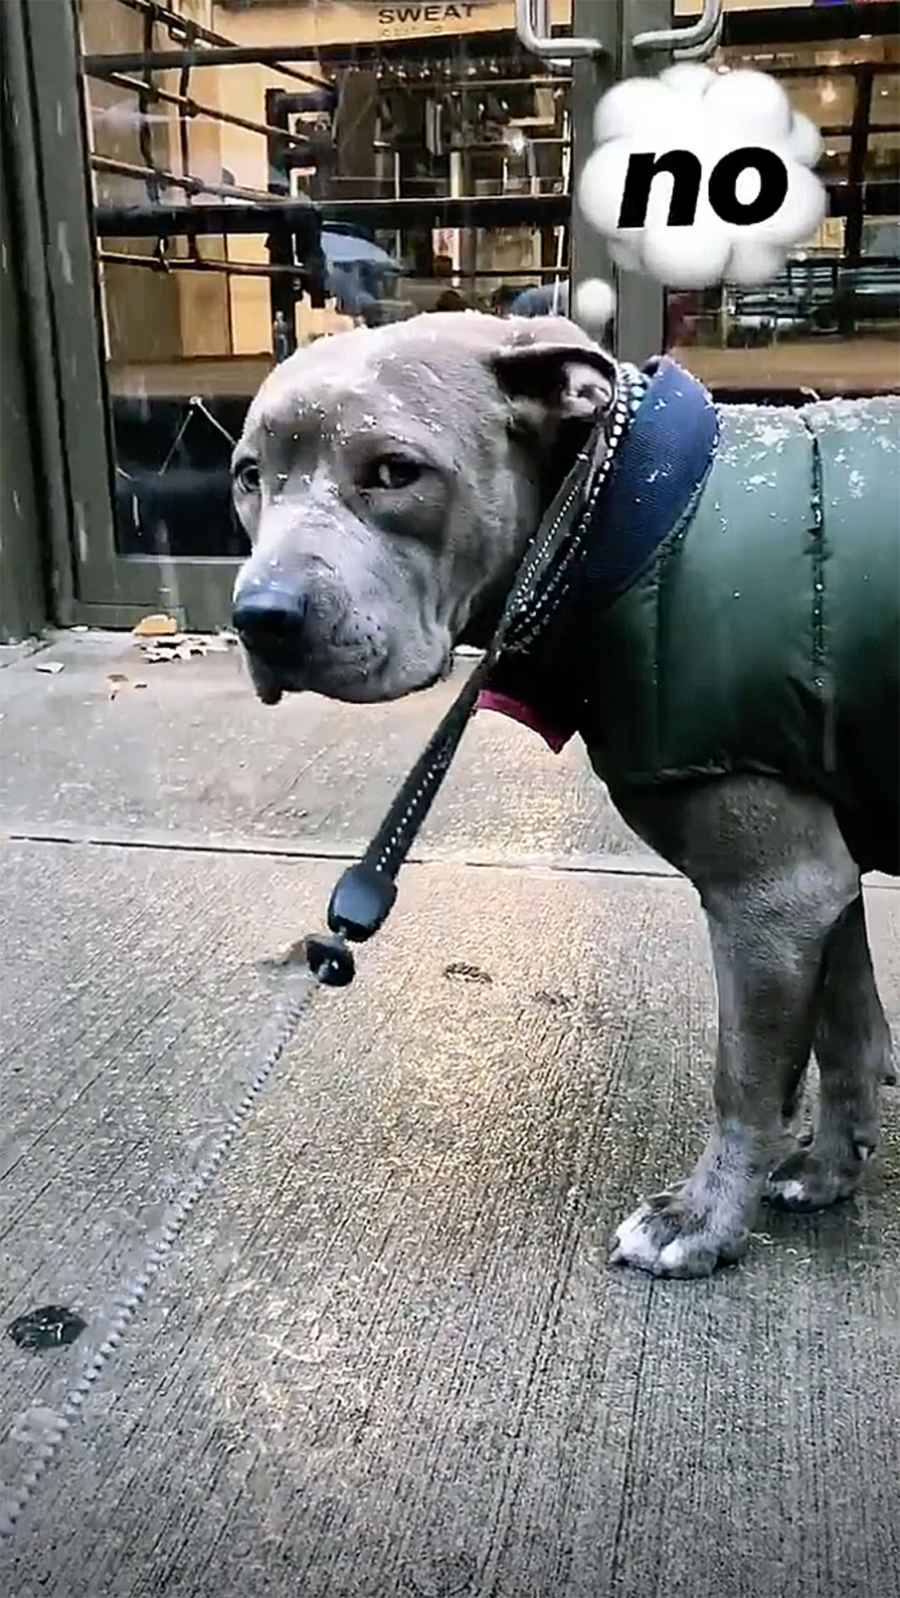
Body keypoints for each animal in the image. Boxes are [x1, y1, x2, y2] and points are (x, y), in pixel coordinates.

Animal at [234, 311, 900, 1278]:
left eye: (396, 471)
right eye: (250, 476)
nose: (261, 616)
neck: (624, 517)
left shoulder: (771, 894)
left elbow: (742, 1078)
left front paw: (702, 1222)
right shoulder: (819, 863)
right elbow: (848, 1031)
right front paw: (825, 1170)